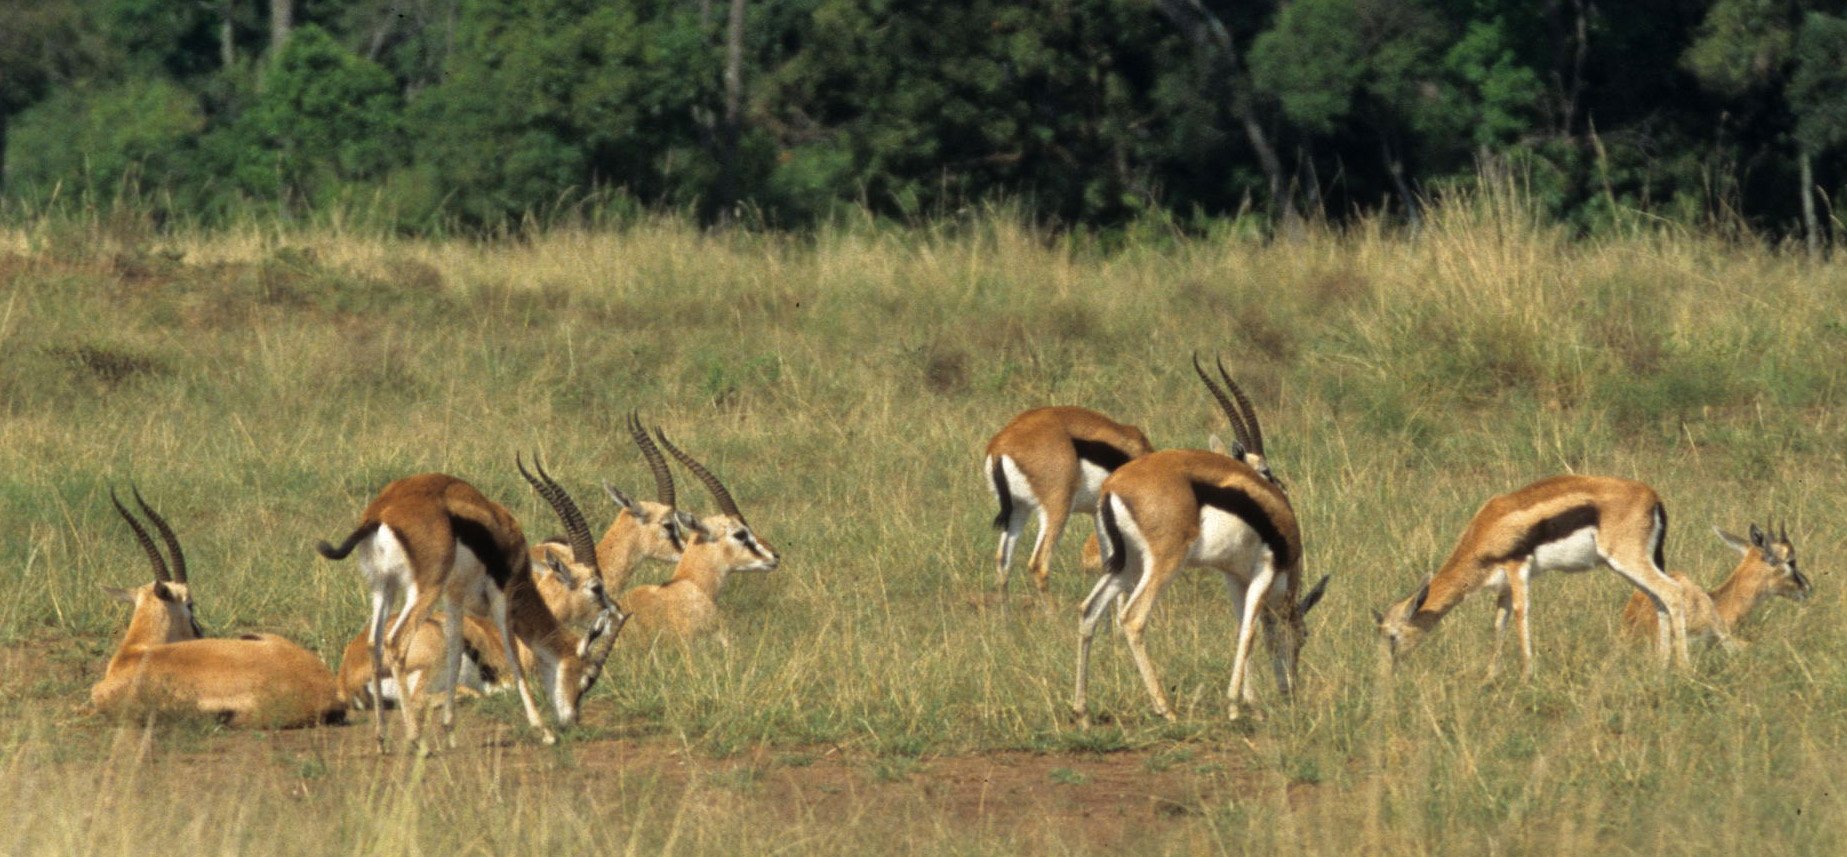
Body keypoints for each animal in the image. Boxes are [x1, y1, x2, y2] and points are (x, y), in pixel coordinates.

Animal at [315, 464, 618, 750]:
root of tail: (380, 514)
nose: (571, 720)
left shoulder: (454, 596)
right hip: (424, 590)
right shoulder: (501, 597)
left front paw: (449, 731)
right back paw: (415, 739)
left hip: (383, 588)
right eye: (596, 587)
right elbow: (514, 657)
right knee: (395, 643)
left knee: (375, 644)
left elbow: (455, 648)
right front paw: (544, 732)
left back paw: (381, 739)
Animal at [1073, 361, 1327, 725]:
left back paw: (1082, 712)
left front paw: (1249, 703)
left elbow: (1243, 627)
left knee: (1088, 611)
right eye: (1304, 635)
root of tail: (1112, 488)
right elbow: (1251, 631)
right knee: (1132, 618)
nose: (1290, 691)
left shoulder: (1236, 577)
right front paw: (1235, 705)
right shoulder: (1264, 571)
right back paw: (1166, 709)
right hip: (1162, 565)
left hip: (1125, 567)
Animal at [1376, 475, 1689, 677]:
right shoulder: (1503, 584)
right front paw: (1490, 676)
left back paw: (1683, 670)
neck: (1485, 529)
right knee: (1658, 599)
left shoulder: (1517, 567)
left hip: (1628, 560)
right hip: (1628, 566)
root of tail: (1652, 496)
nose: (1387, 673)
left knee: (1673, 593)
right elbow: (1499, 622)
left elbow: (1519, 613)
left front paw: (1527, 674)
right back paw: (1660, 667)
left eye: (1392, 636)